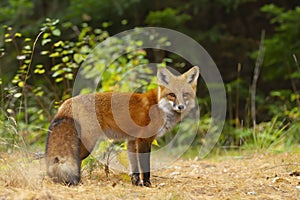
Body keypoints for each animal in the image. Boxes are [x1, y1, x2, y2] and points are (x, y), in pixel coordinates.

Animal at [45, 66, 199, 187]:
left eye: (185, 94)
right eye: (172, 95)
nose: (181, 106)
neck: (160, 106)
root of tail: (67, 102)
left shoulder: (131, 140)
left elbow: (134, 168)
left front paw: (136, 184)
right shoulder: (144, 139)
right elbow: (145, 168)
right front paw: (147, 184)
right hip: (87, 144)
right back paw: (74, 182)